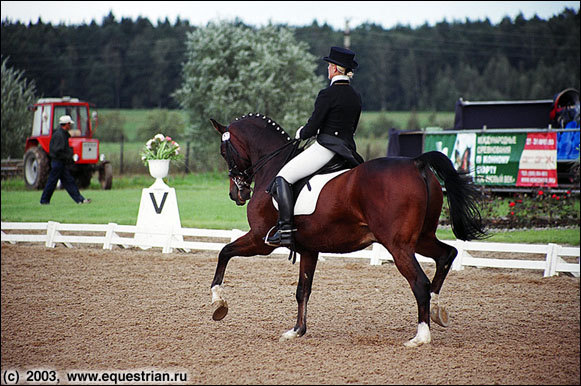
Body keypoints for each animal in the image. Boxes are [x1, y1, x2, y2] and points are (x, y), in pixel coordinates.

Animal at [207, 113, 484, 348]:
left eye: (223, 151)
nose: (237, 194)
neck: (272, 166)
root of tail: (416, 162)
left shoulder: (260, 240)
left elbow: (224, 252)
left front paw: (219, 303)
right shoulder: (309, 249)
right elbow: (302, 290)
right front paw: (296, 331)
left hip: (398, 245)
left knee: (419, 282)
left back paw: (421, 337)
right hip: (421, 238)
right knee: (446, 256)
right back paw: (437, 311)